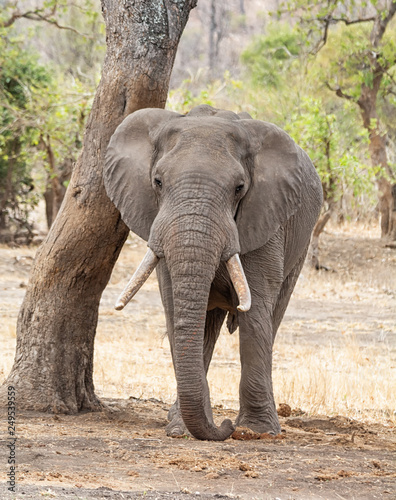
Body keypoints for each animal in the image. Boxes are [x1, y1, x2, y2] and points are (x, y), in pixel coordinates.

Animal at [103, 104, 324, 442]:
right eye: (157, 181)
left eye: (239, 188)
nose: (226, 425)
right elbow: (175, 308)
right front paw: (180, 429)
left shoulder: (265, 220)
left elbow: (255, 313)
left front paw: (256, 431)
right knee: (206, 325)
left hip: (301, 243)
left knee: (273, 315)